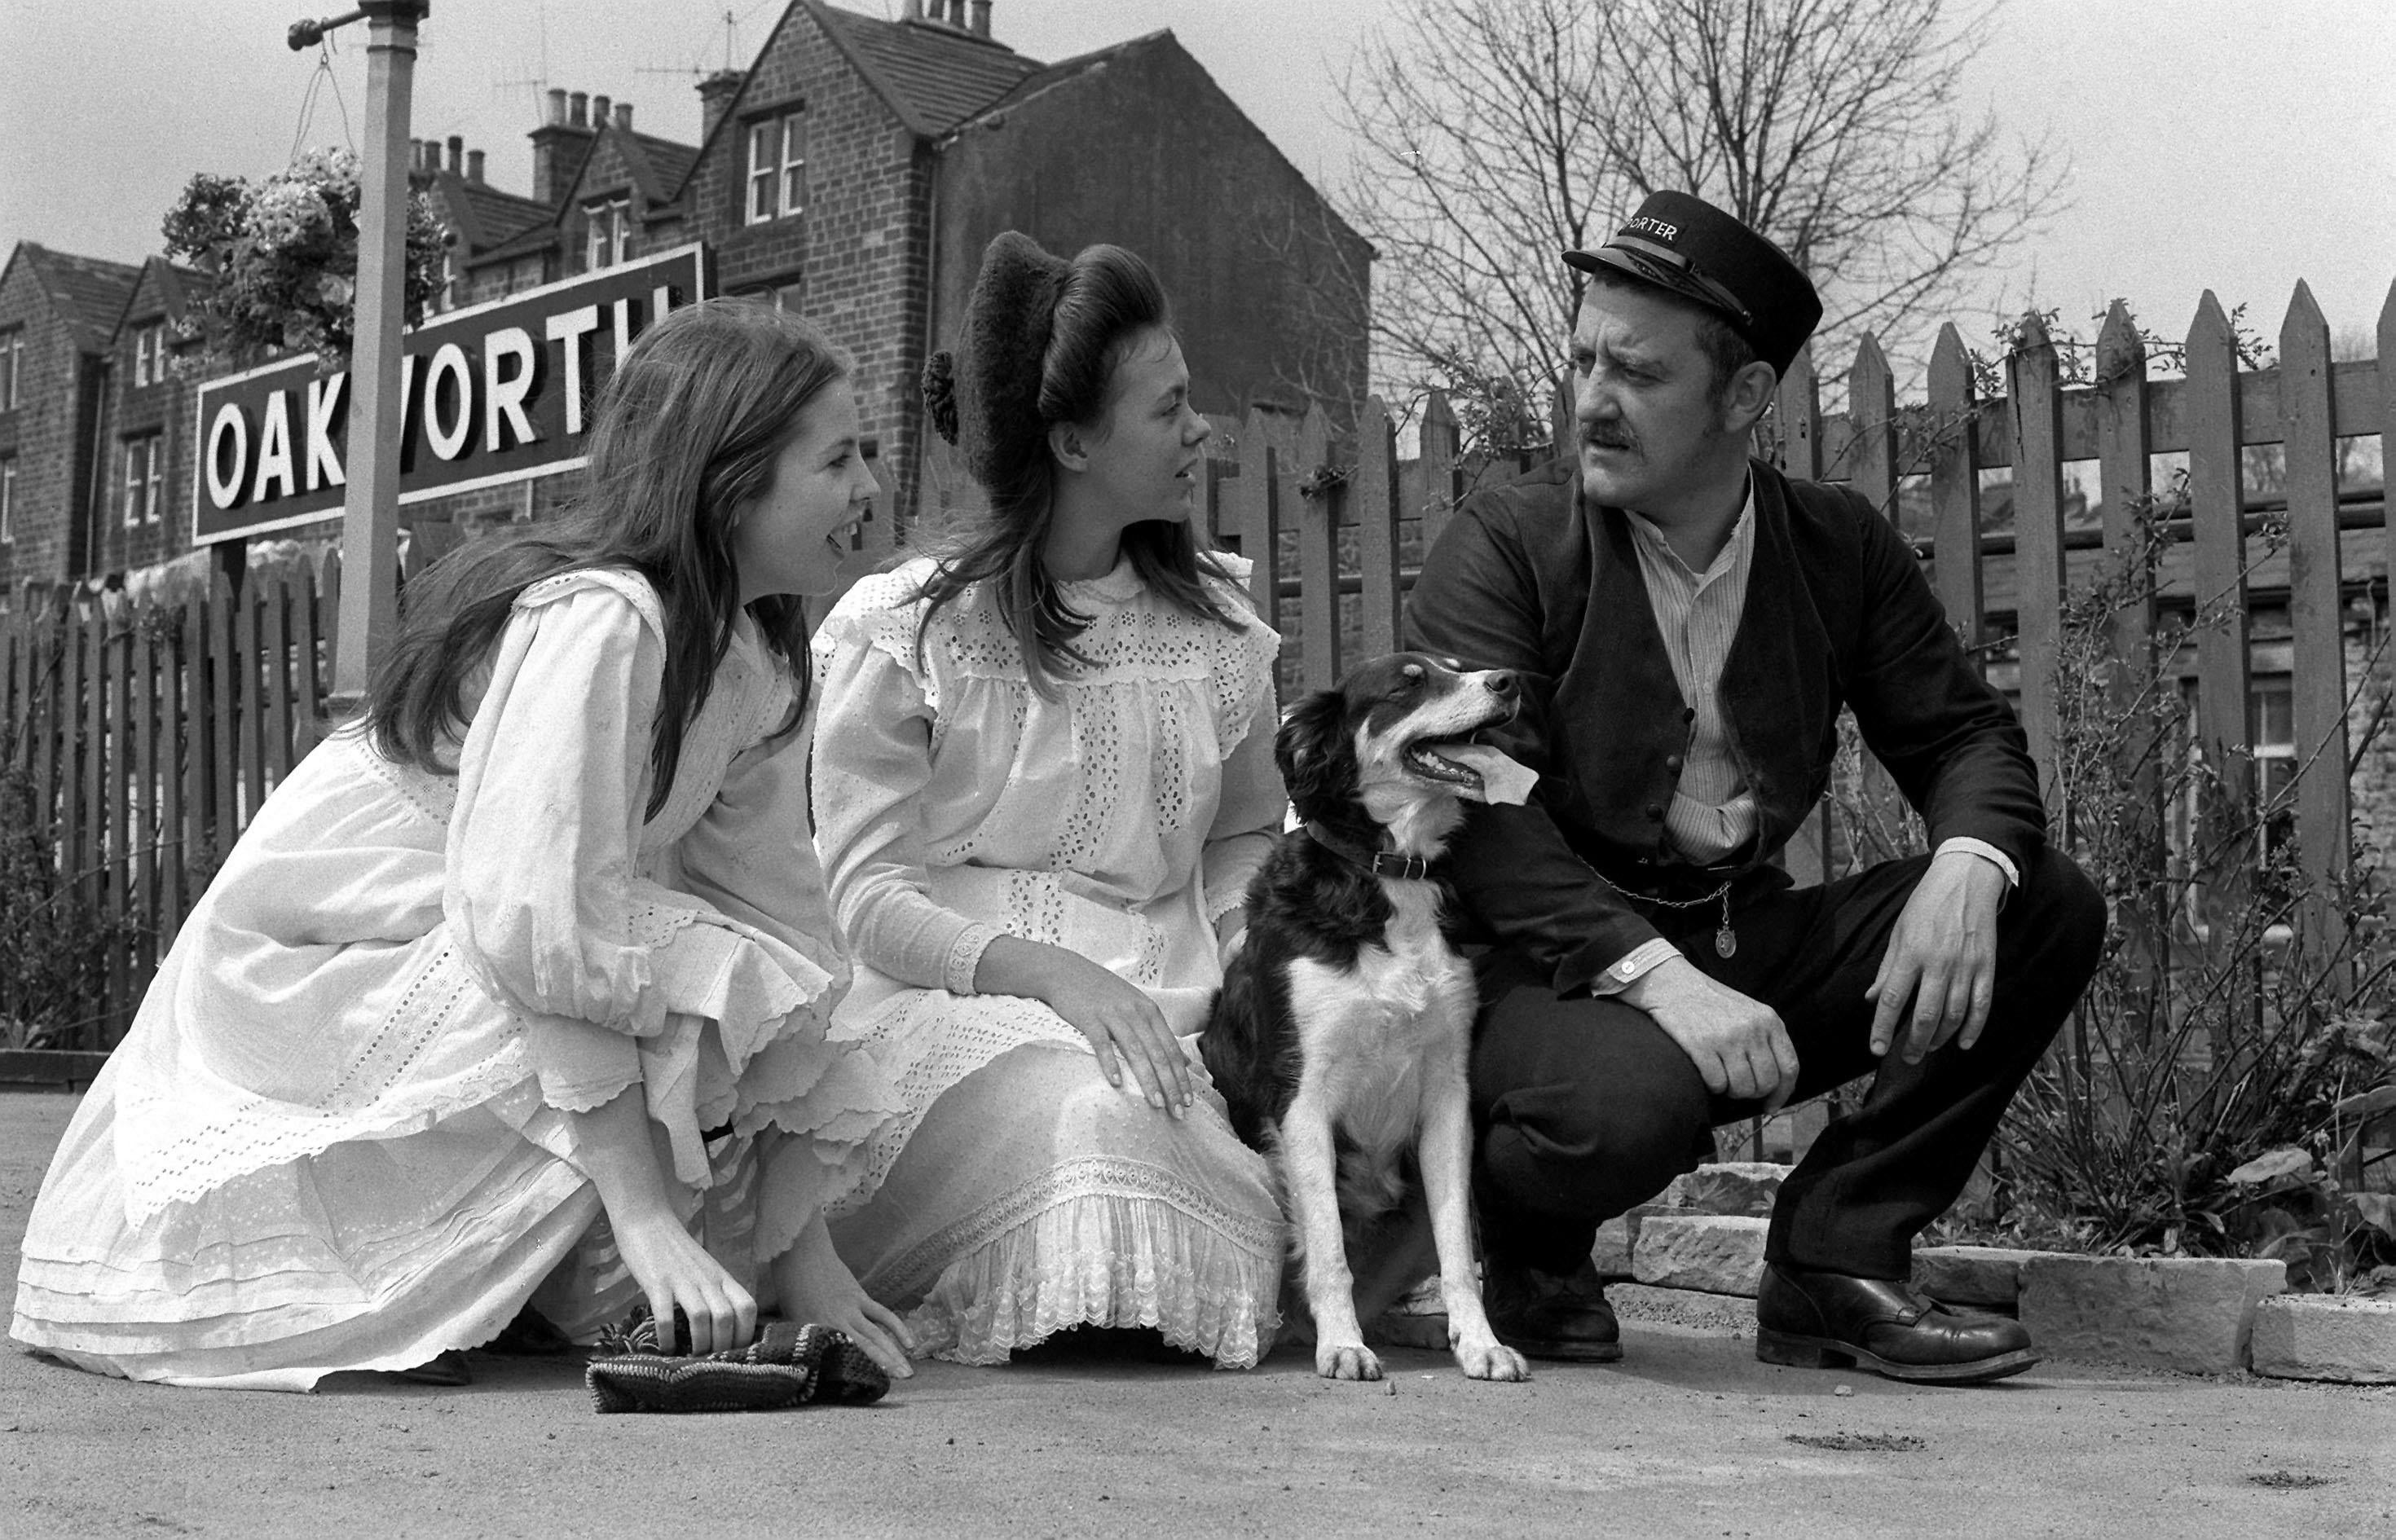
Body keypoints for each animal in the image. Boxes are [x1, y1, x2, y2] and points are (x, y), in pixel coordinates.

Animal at [1198, 651, 1533, 1388]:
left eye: (1459, 667)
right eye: (1409, 682)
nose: (1510, 681)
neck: (1390, 872)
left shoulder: (1447, 1099)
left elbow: (1458, 1252)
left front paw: (1481, 1343)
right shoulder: (1301, 1098)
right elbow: (1328, 1250)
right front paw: (1343, 1347)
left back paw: (1421, 1329)